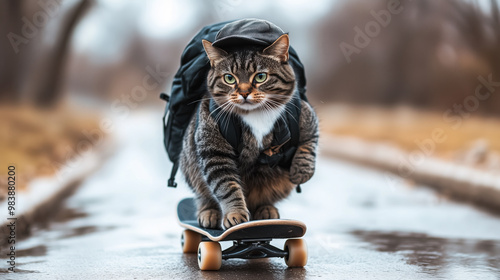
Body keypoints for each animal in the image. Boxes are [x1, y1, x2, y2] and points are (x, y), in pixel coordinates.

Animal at [180, 34, 318, 229]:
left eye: (260, 77)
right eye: (229, 78)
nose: (244, 93)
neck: (255, 114)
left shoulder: (306, 116)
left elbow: (309, 144)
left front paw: (302, 171)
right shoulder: (214, 152)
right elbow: (227, 185)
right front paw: (235, 214)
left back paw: (266, 210)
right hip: (191, 167)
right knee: (203, 195)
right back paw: (209, 213)